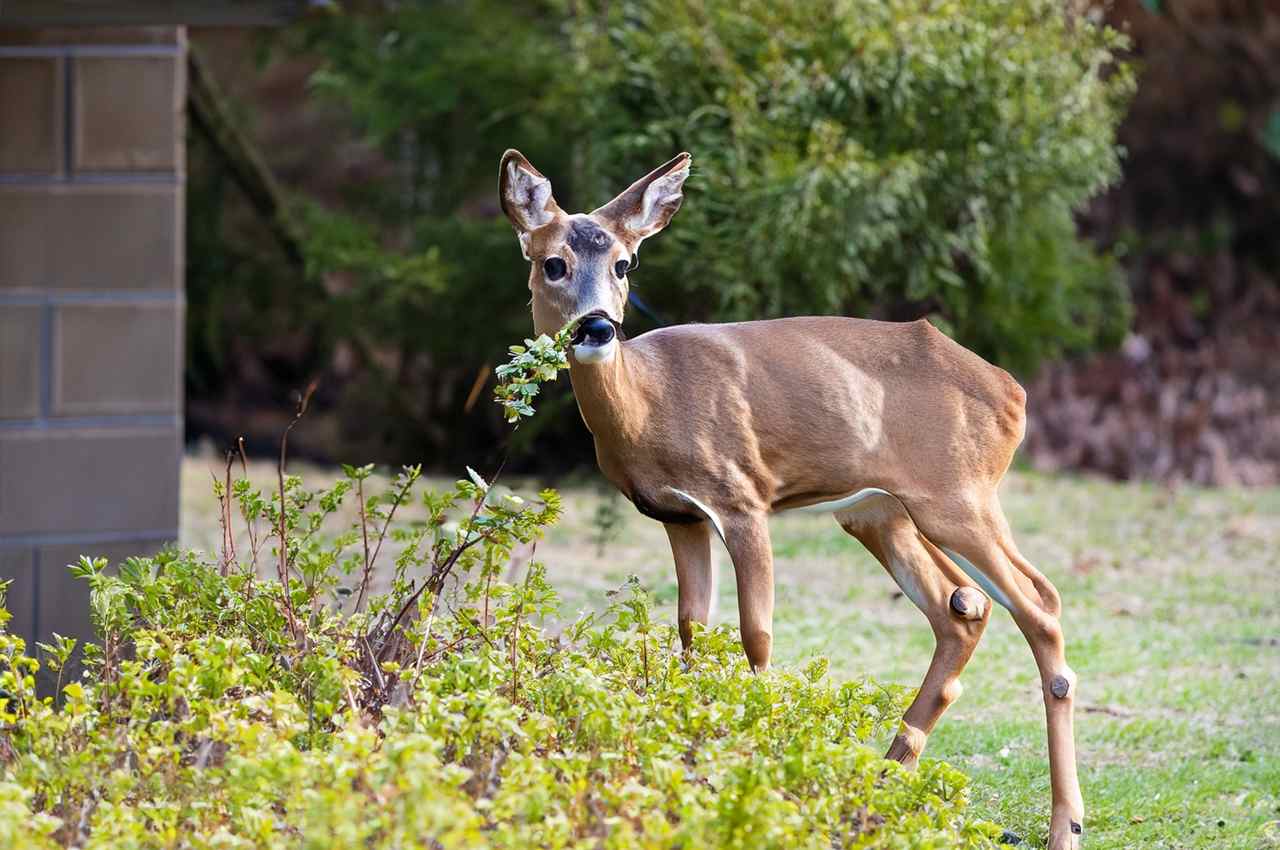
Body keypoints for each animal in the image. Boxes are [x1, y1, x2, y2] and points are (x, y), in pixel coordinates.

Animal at [498, 149, 1086, 849]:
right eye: (553, 262)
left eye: (624, 263)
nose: (597, 326)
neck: (649, 404)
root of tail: (1012, 393)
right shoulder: (680, 517)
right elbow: (692, 633)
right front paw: (693, 757)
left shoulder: (741, 496)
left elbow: (756, 636)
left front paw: (759, 764)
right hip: (878, 511)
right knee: (964, 605)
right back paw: (884, 780)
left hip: (957, 495)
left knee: (1040, 603)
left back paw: (1064, 824)